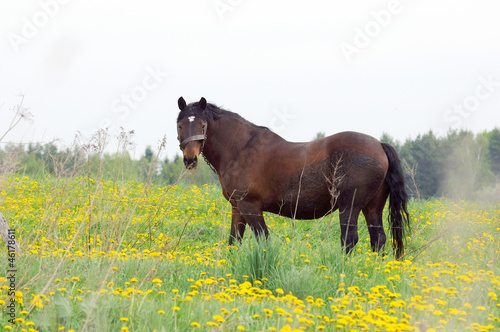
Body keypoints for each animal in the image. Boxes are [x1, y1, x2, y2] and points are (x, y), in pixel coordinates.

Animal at [176, 97, 410, 258]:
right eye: (180, 125)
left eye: (203, 125)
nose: (190, 159)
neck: (241, 149)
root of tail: (380, 145)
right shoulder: (237, 207)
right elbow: (234, 241)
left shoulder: (250, 206)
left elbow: (263, 239)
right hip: (372, 207)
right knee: (378, 239)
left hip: (349, 206)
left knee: (350, 239)